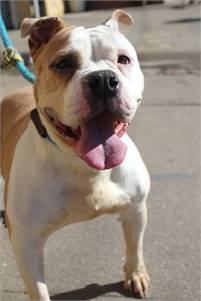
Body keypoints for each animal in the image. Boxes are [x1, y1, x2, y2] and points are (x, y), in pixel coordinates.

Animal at [0, 9, 151, 300]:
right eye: (63, 64)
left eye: (123, 59)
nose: (103, 80)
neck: (83, 166)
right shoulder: (25, 244)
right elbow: (38, 291)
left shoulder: (136, 208)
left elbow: (135, 248)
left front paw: (135, 274)